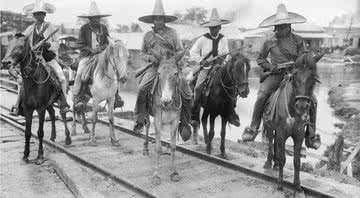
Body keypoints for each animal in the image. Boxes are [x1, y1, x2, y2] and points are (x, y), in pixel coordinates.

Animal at [1, 33, 71, 164]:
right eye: (8, 45)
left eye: (21, 46)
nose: (5, 62)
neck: (34, 81)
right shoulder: (28, 109)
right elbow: (28, 132)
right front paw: (25, 155)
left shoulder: (41, 109)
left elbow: (40, 132)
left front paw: (40, 156)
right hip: (49, 103)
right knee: (52, 114)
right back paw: (53, 136)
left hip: (59, 99)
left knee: (63, 114)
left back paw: (68, 138)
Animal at [262, 52, 324, 192]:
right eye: (294, 76)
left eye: (313, 77)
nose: (301, 106)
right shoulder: (281, 132)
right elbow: (283, 158)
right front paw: (280, 184)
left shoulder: (298, 134)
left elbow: (297, 161)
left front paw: (297, 186)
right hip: (270, 127)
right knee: (271, 141)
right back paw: (268, 162)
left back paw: (275, 165)